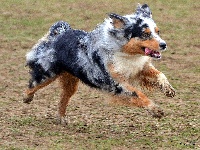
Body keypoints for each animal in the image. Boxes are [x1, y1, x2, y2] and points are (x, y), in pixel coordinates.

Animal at [23, 4, 175, 124]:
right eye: (145, 34)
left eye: (158, 32)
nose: (163, 45)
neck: (126, 53)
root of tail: (58, 33)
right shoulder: (115, 83)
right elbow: (137, 94)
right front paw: (155, 110)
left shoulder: (140, 69)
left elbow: (160, 75)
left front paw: (168, 90)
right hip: (47, 73)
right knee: (32, 85)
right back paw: (27, 98)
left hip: (71, 83)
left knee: (63, 98)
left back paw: (61, 118)